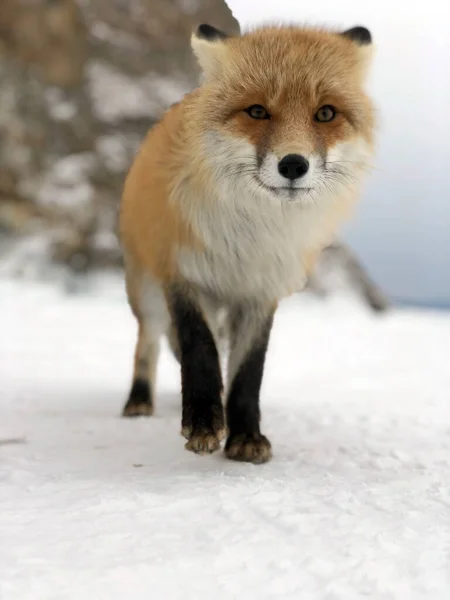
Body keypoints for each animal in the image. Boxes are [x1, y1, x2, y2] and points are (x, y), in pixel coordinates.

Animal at [118, 22, 374, 464]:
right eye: (257, 111)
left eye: (325, 113)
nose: (293, 164)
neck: (249, 237)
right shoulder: (182, 274)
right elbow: (200, 350)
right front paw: (203, 423)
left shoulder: (260, 291)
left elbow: (247, 373)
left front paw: (245, 436)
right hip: (147, 292)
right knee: (147, 342)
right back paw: (139, 400)